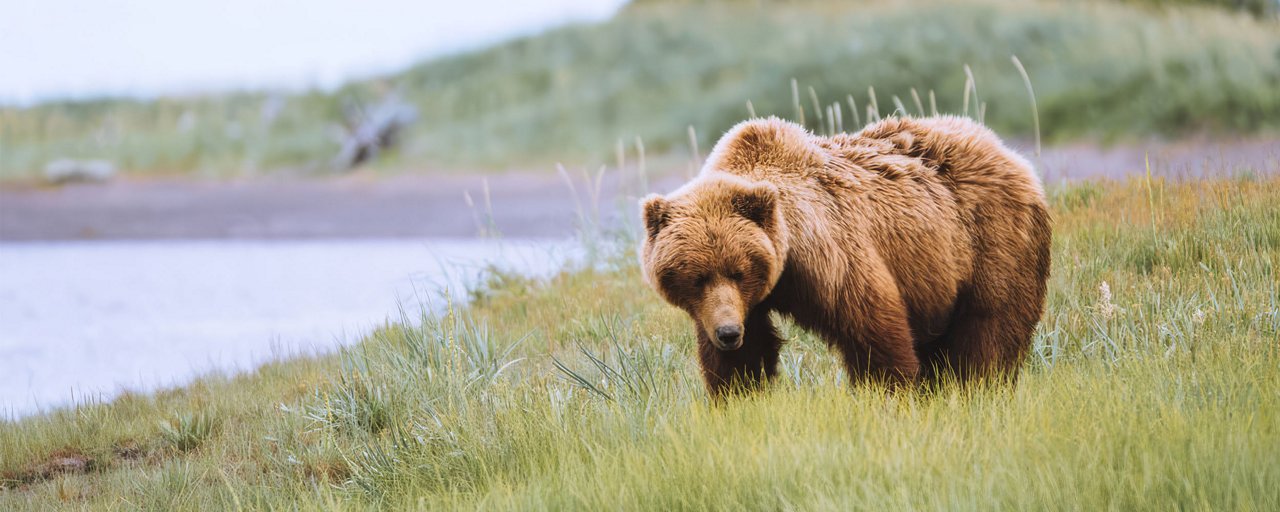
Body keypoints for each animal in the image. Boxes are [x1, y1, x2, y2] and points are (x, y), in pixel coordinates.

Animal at [639, 115, 1051, 397]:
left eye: (738, 270)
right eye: (696, 277)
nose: (727, 333)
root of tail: (1008, 152)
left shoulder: (831, 255)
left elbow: (873, 328)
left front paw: (889, 392)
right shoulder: (743, 304)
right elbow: (745, 359)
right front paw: (737, 395)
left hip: (992, 242)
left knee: (989, 329)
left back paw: (979, 386)